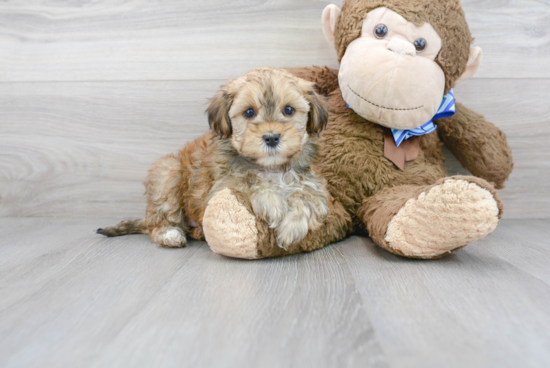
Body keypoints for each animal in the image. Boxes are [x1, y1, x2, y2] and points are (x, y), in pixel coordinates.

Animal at [98, 68, 330, 252]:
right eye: (249, 112)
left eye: (289, 110)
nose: (272, 137)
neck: (271, 168)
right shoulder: (221, 185)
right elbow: (248, 180)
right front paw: (273, 204)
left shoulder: (313, 184)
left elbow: (308, 198)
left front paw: (292, 228)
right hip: (167, 172)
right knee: (158, 220)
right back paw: (169, 234)